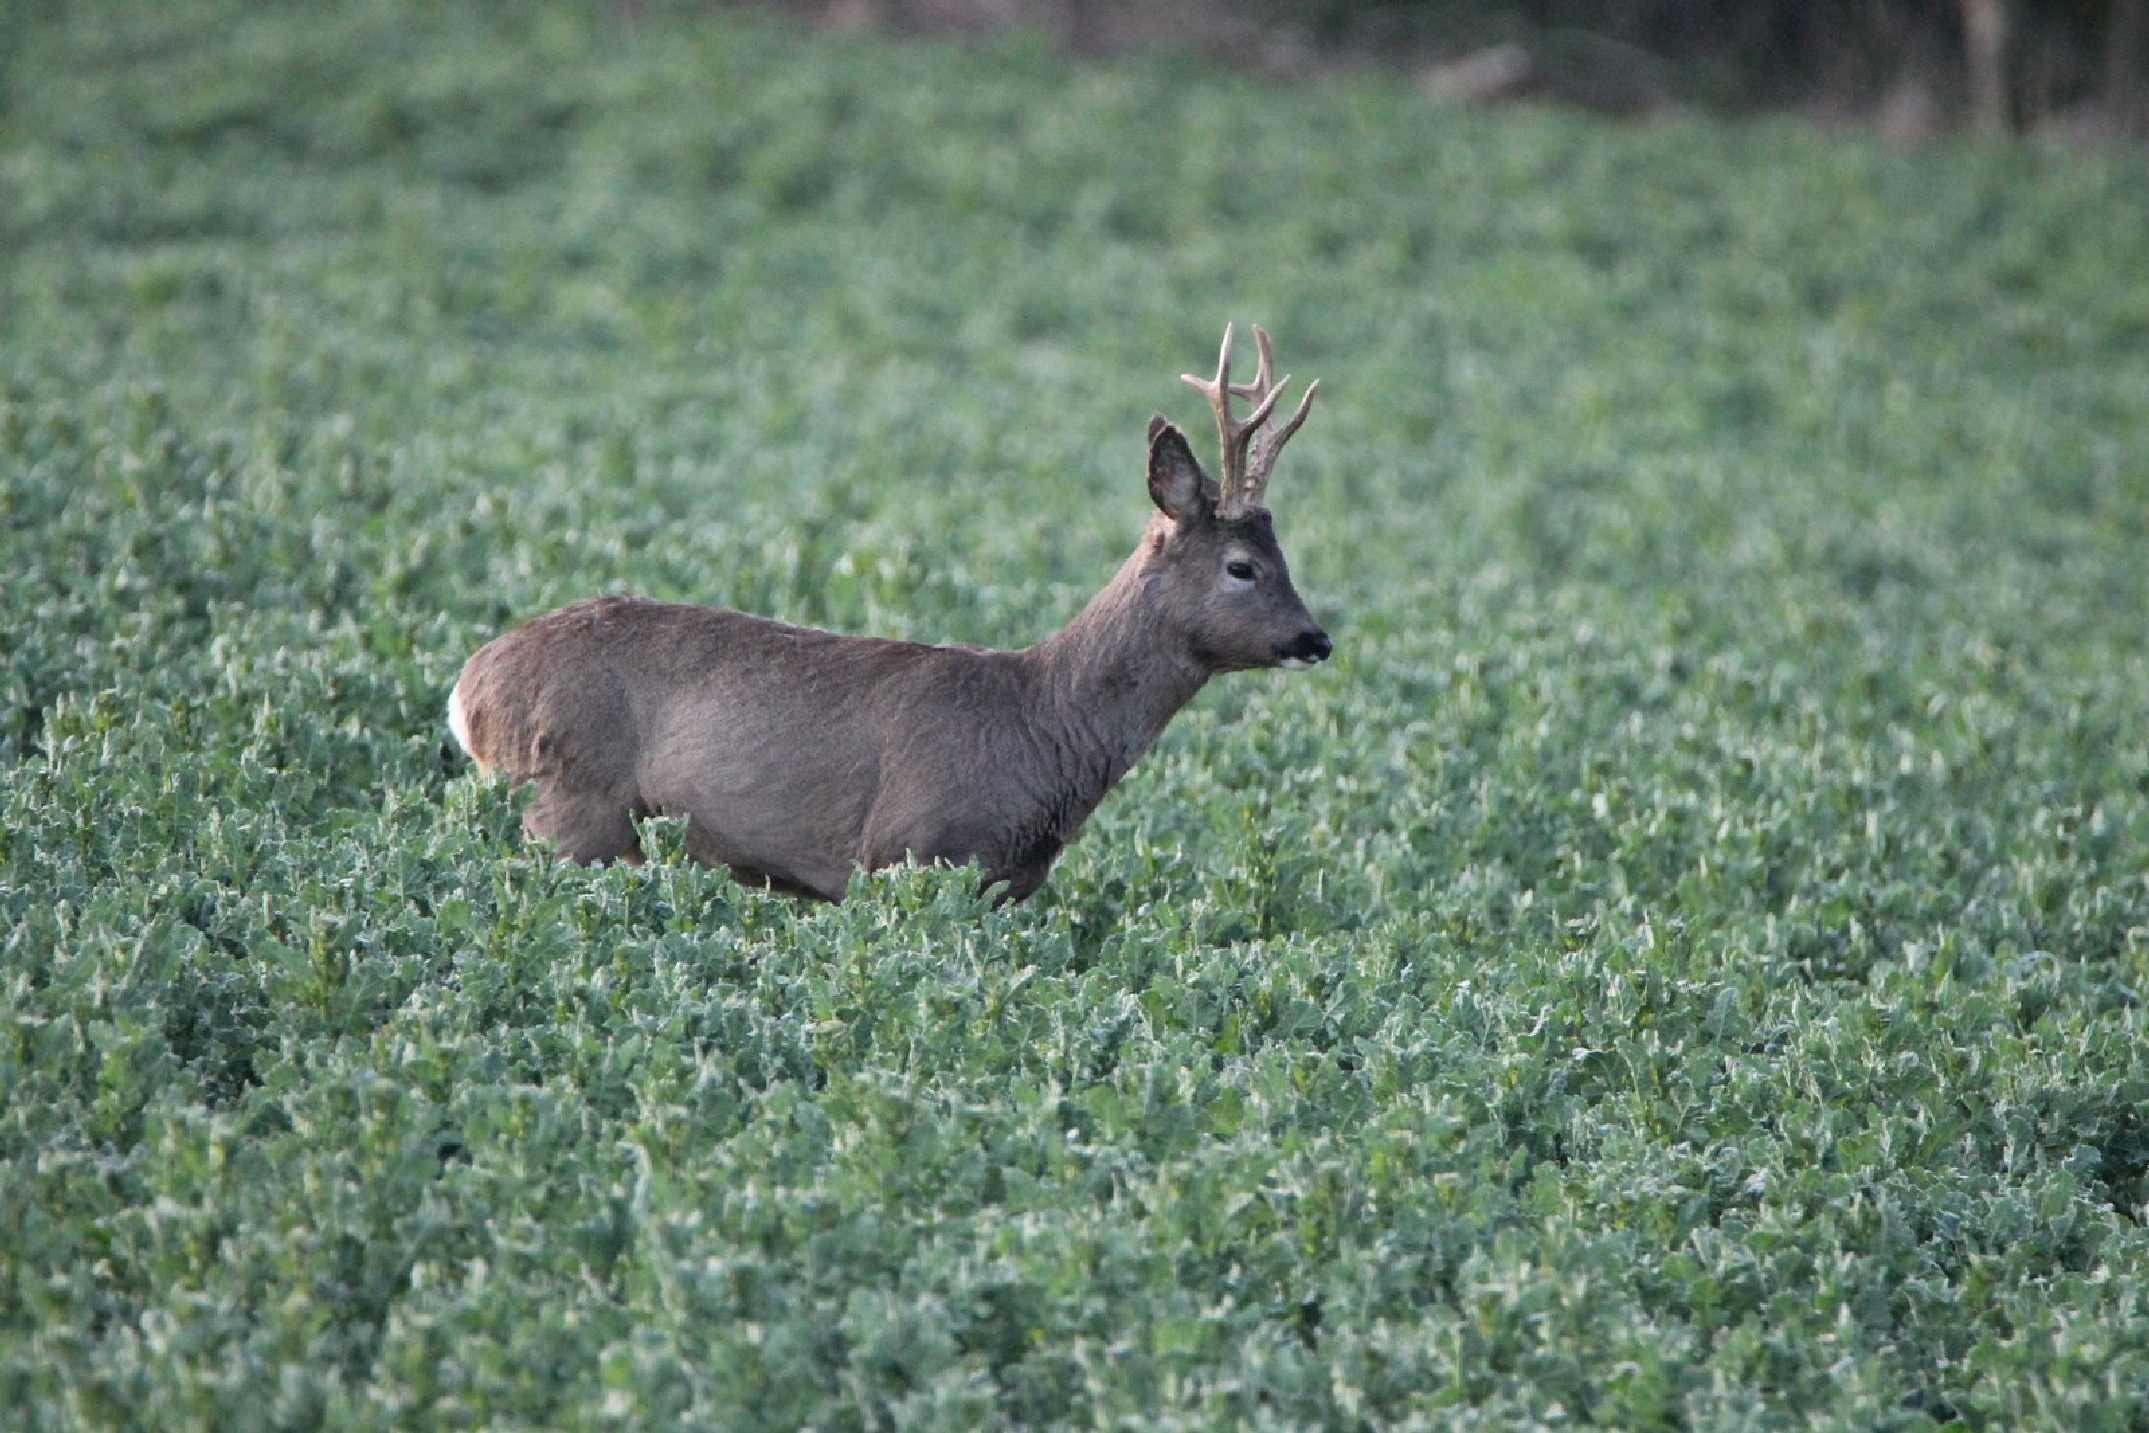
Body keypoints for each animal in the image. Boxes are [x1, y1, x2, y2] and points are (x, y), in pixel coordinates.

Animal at [449, 328, 1323, 902]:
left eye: (1283, 553)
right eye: (1241, 566)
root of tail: (469, 688)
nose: (1315, 638)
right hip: (573, 798)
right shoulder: (908, 850)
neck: (1040, 724)